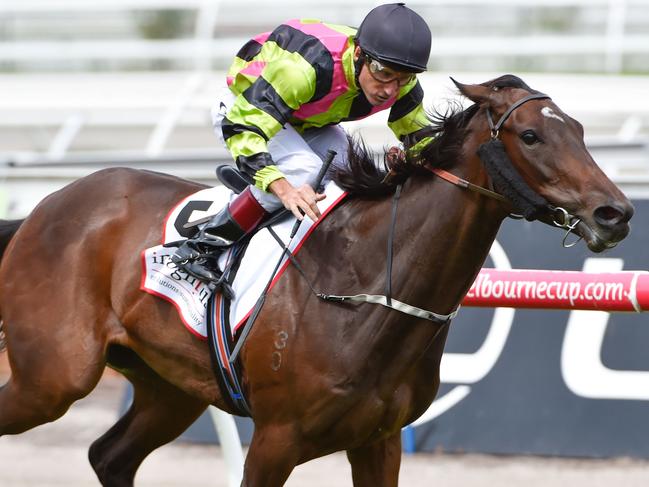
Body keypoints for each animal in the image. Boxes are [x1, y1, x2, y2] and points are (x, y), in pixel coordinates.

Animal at [0, 74, 632, 486]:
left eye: (579, 129)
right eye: (530, 136)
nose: (616, 213)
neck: (366, 286)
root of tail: (45, 206)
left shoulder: (378, 443)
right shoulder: (274, 441)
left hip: (168, 387)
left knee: (110, 456)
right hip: (53, 377)